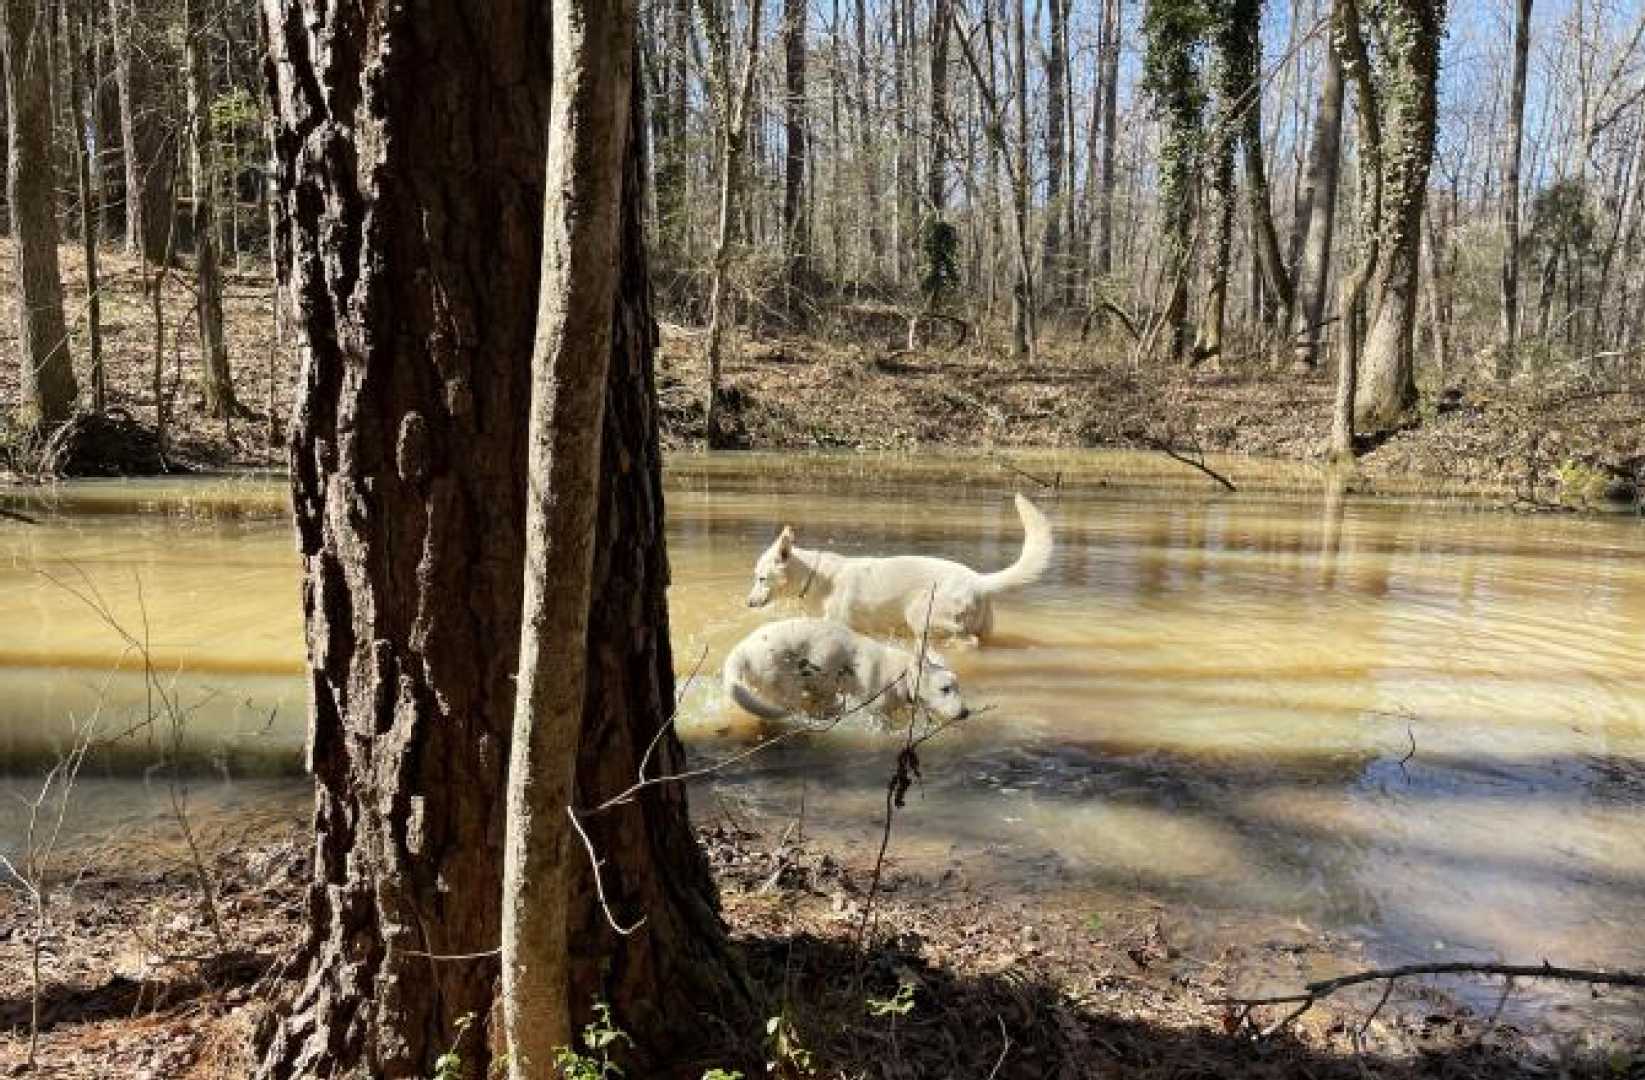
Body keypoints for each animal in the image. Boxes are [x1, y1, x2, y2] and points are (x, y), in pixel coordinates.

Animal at [722, 617, 968, 723]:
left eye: (958, 687)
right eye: (945, 689)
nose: (966, 713)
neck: (899, 674)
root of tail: (742, 650)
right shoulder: (874, 712)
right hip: (785, 686)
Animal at [745, 493, 1052, 643]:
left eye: (761, 579)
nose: (747, 603)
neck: (817, 576)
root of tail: (978, 580)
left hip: (921, 615)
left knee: (964, 640)